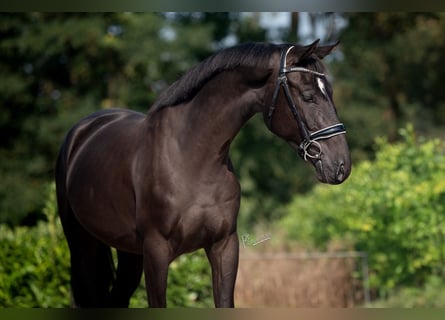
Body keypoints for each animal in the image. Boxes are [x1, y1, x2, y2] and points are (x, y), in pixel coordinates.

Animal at [55, 40, 350, 308]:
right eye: (308, 96)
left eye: (331, 92)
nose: (341, 165)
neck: (192, 157)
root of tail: (83, 130)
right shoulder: (156, 251)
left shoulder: (224, 246)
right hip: (82, 245)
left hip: (128, 252)